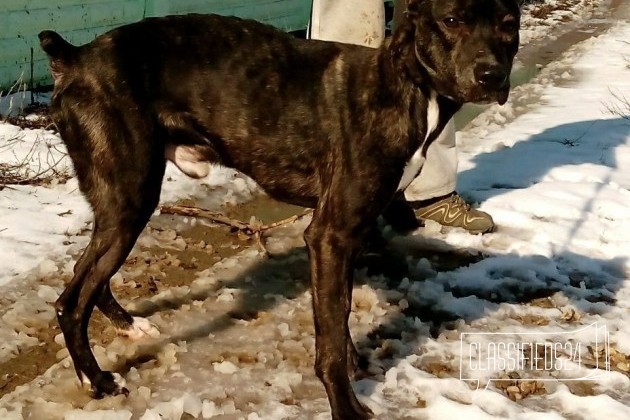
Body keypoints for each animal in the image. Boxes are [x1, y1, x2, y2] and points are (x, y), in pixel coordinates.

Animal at [40, 1, 524, 418]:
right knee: (71, 300)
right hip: (131, 198)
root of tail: (76, 57)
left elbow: (337, 318)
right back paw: (98, 380)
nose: (491, 75)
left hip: (122, 205)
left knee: (90, 275)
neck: (405, 85)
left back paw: (127, 326)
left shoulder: (345, 238)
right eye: (452, 19)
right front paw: (347, 408)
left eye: (508, 23)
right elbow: (330, 342)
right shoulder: (329, 235)